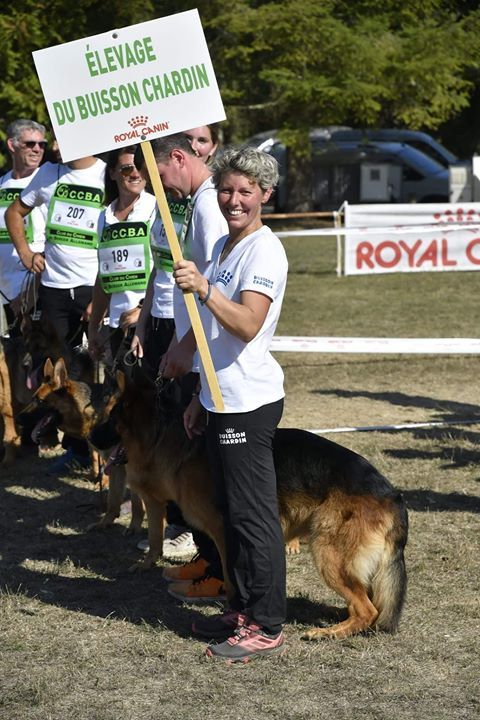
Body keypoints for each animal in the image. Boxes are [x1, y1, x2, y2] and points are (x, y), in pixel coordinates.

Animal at [92, 368, 406, 640]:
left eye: (110, 418)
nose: (90, 438)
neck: (166, 437)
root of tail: (392, 494)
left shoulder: (224, 532)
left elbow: (230, 575)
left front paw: (233, 607)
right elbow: (155, 536)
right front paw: (146, 564)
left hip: (328, 553)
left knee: (367, 610)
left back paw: (328, 633)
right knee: (364, 601)